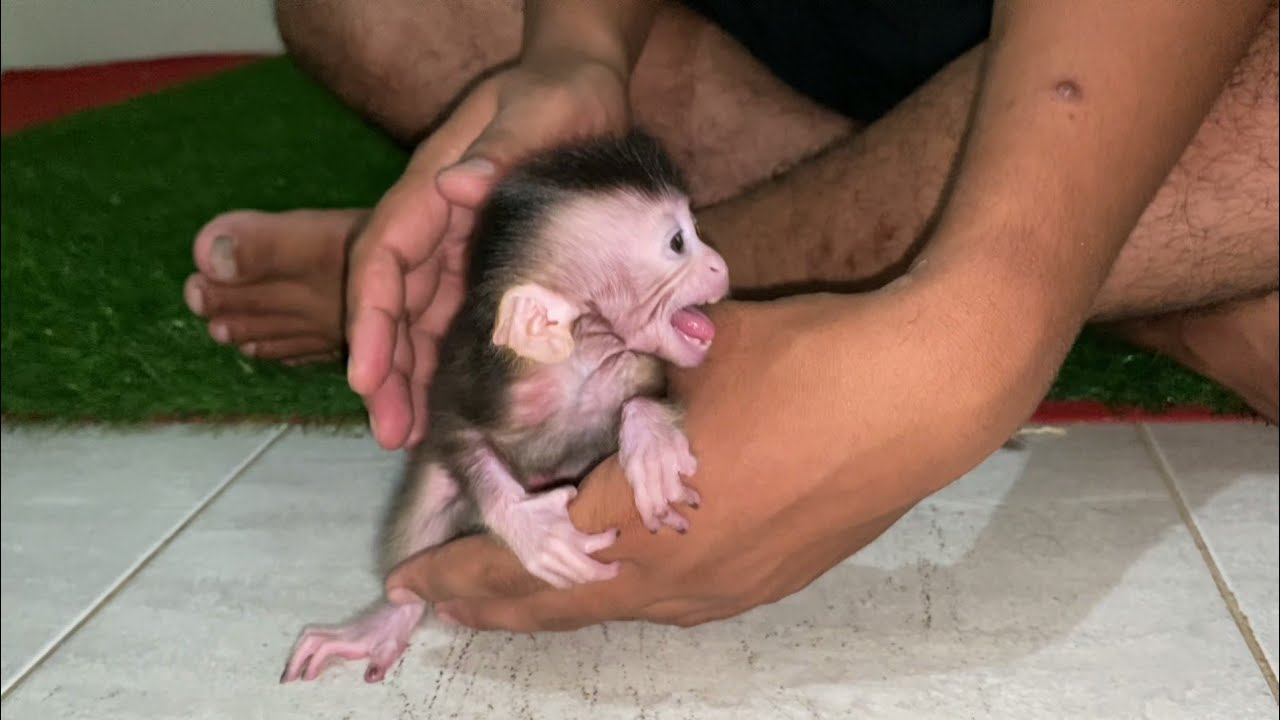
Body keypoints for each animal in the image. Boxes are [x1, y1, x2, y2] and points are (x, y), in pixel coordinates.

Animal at [281, 131, 731, 684]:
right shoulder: (484, 382)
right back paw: (390, 617)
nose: (719, 264)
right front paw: (530, 526)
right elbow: (455, 431)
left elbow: (646, 399)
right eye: (677, 243)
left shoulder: (634, 366)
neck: (581, 364)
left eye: (694, 231)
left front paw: (651, 446)